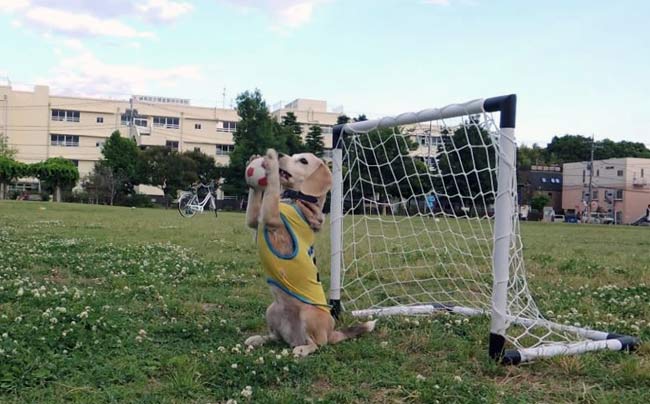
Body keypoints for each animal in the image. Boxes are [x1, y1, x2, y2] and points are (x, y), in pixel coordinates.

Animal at [243, 148, 374, 356]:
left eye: (303, 161)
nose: (280, 154)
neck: (295, 199)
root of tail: (331, 332)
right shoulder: (255, 220)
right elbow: (256, 200)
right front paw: (255, 160)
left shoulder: (270, 217)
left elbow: (272, 188)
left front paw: (270, 162)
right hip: (272, 310)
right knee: (275, 337)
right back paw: (258, 339)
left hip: (309, 315)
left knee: (318, 344)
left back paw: (302, 349)